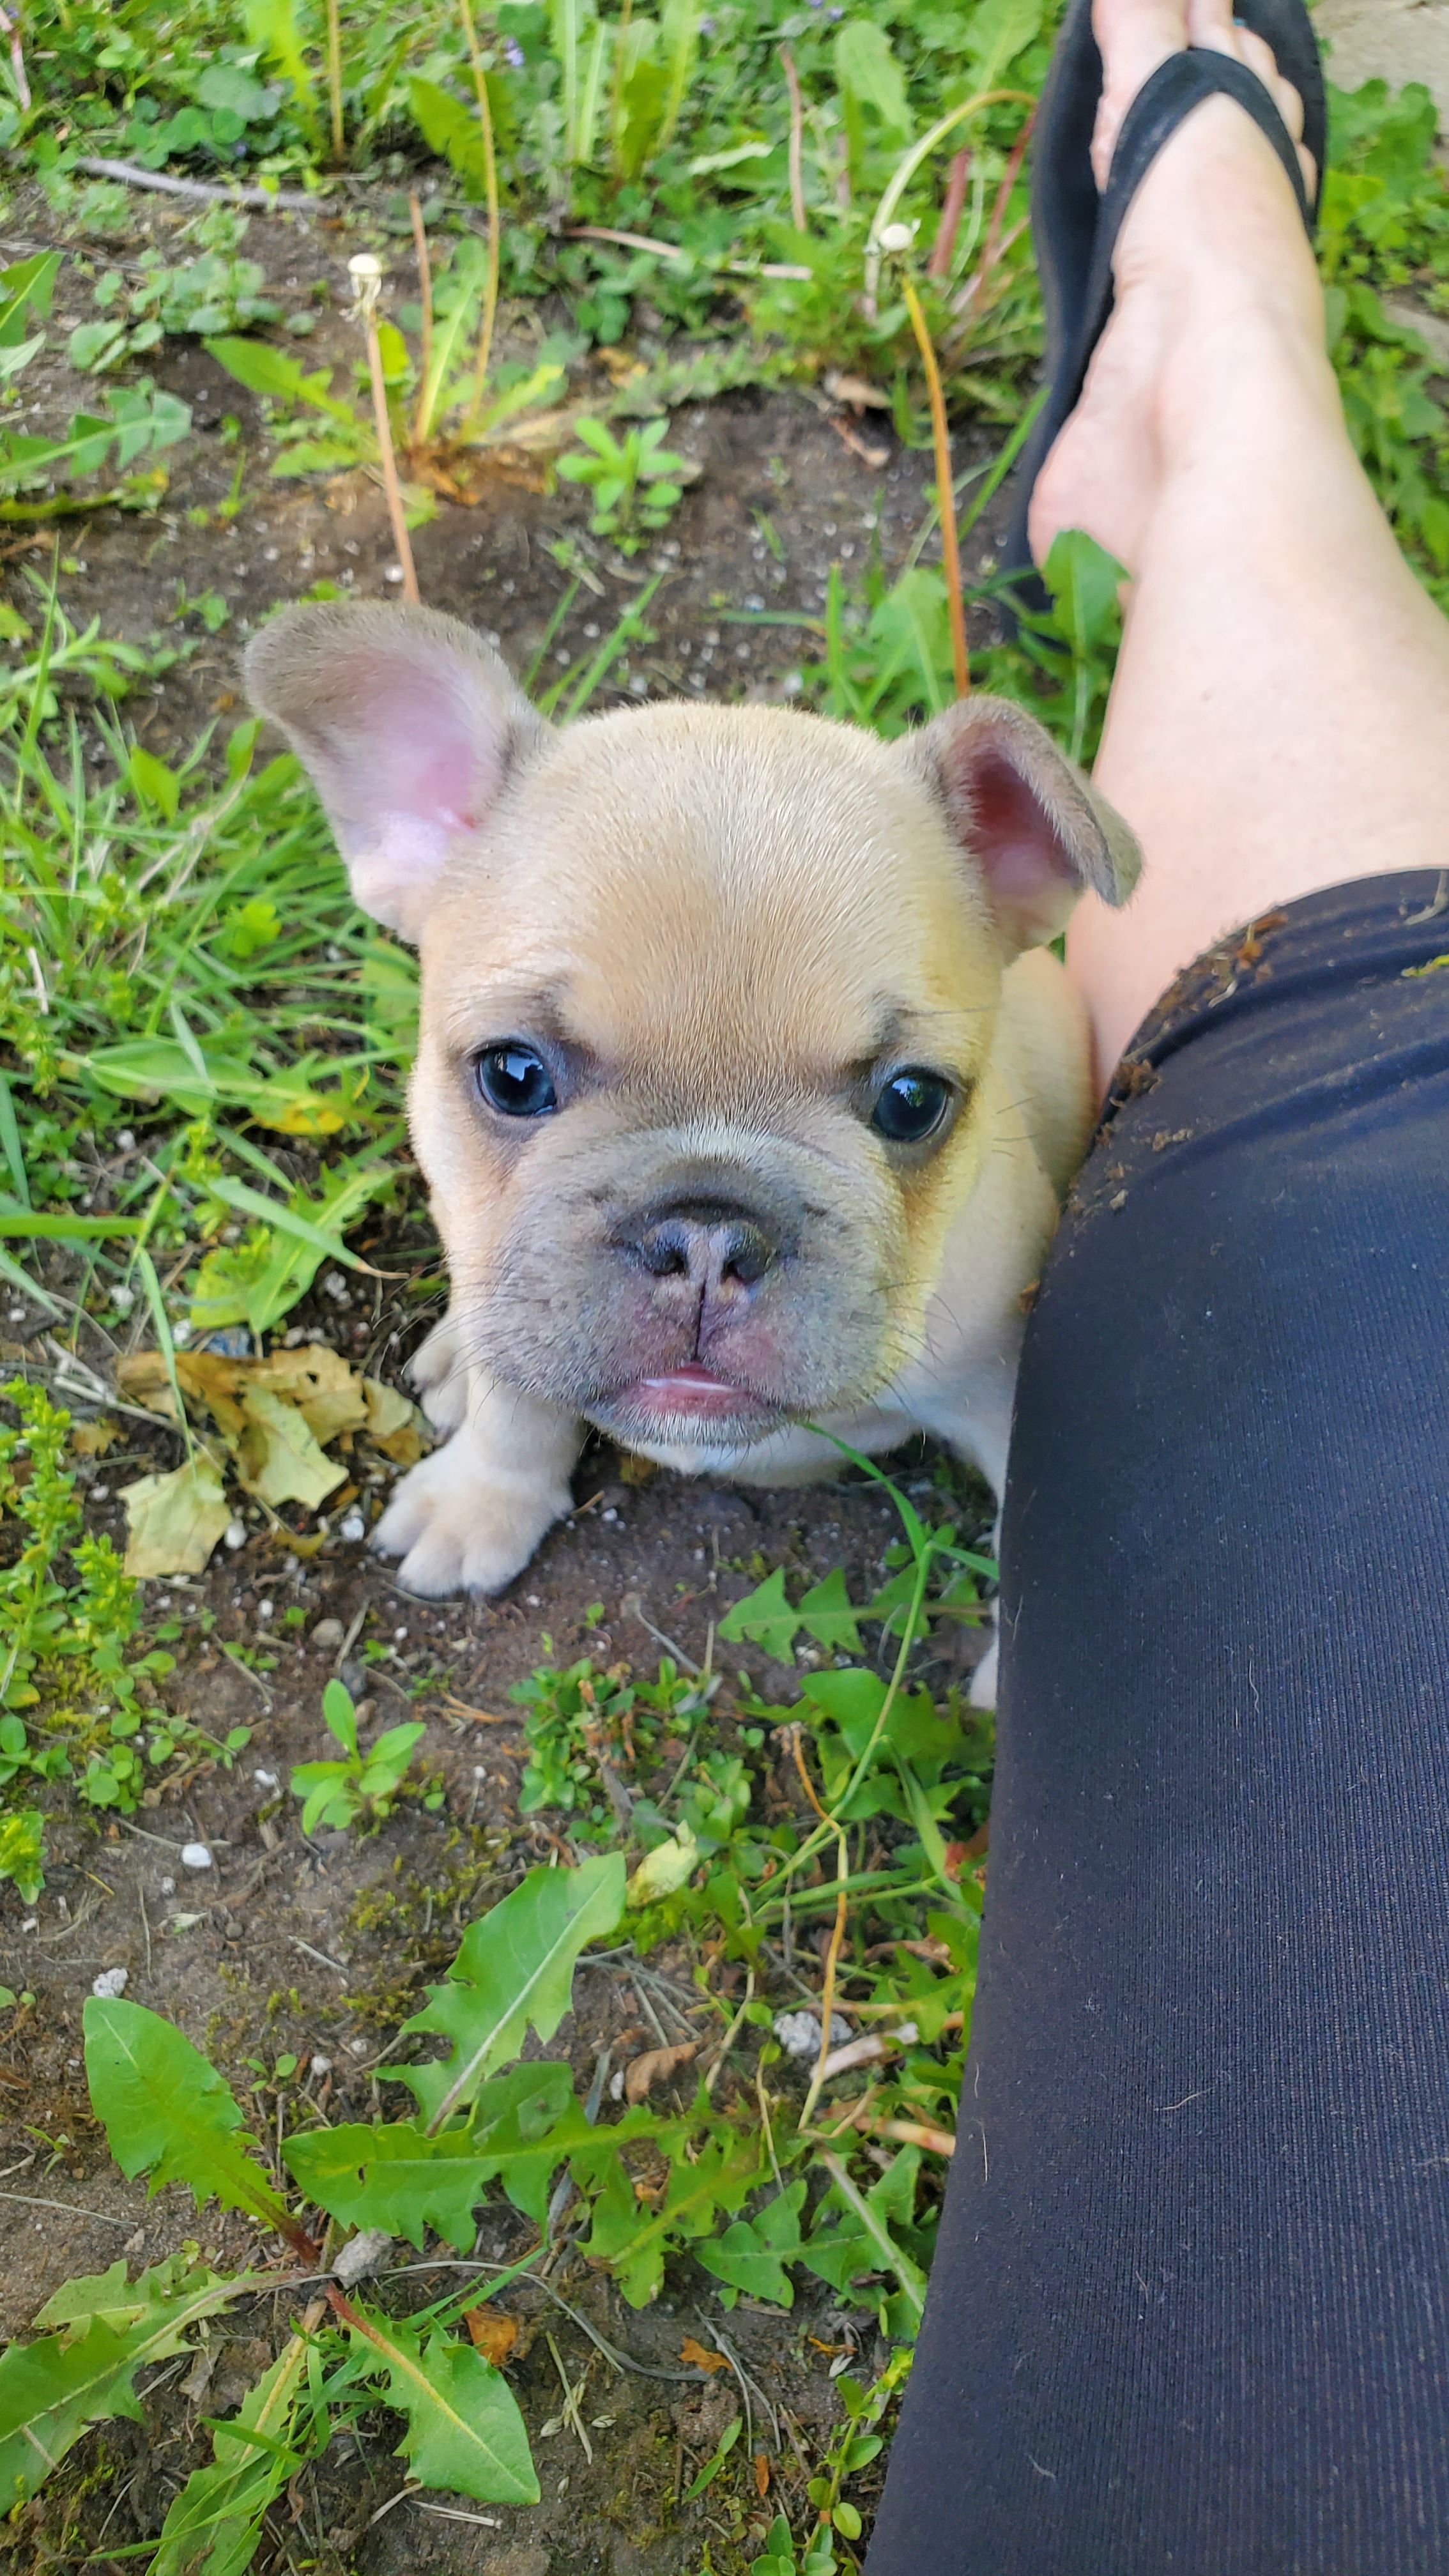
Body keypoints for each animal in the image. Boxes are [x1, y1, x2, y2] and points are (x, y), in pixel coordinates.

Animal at [247, 602, 1134, 1689]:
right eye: (513, 1075)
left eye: (913, 1102)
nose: (707, 1234)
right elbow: (513, 1404)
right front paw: (483, 1499)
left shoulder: (1009, 1393)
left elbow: (1038, 1536)